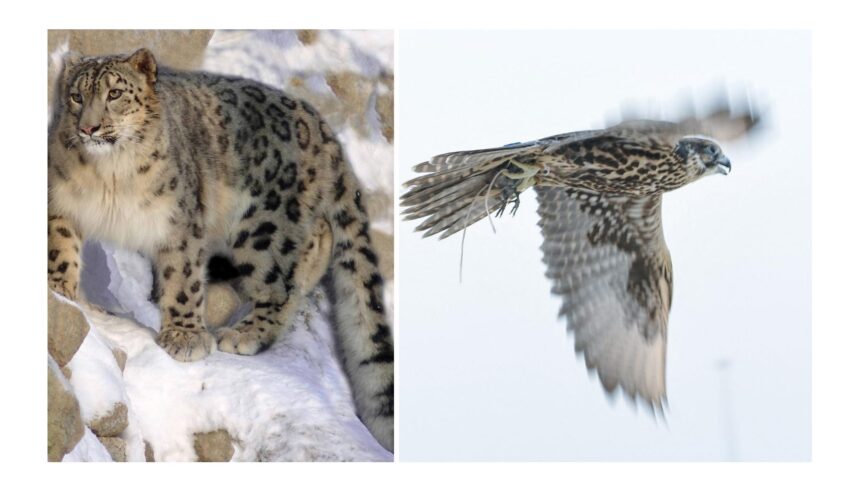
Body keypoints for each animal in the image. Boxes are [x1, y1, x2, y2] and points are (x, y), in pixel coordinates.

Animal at [47, 48, 396, 452]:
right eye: (77, 96)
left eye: (115, 93)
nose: (89, 128)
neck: (110, 176)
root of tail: (322, 128)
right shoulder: (61, 200)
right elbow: (60, 248)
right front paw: (61, 290)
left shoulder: (180, 222)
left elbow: (183, 279)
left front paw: (184, 337)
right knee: (318, 240)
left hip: (264, 227)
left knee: (282, 279)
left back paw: (246, 333)